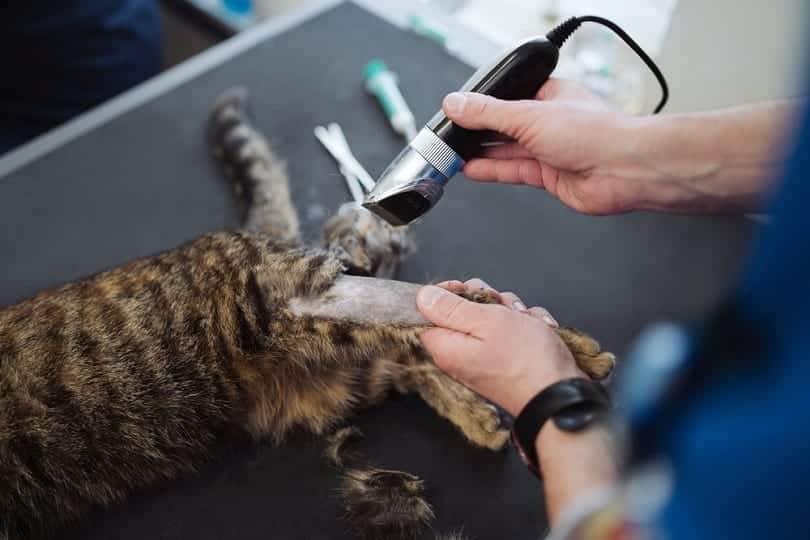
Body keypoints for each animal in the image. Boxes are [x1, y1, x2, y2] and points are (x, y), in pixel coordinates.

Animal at [0, 88, 608, 540]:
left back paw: (563, 345)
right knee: (409, 349)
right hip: (328, 366)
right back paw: (482, 411)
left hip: (290, 308)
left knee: (428, 302)